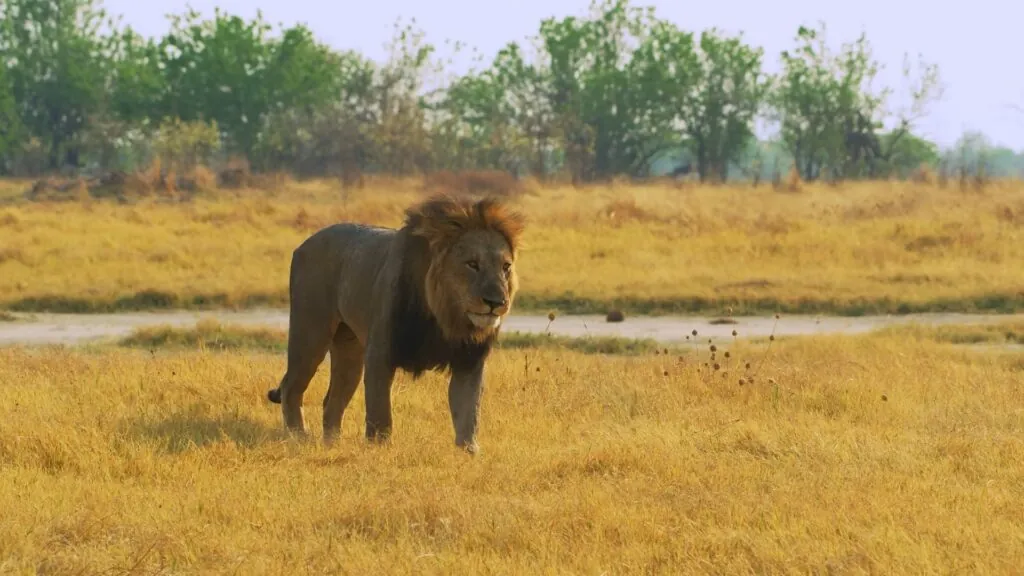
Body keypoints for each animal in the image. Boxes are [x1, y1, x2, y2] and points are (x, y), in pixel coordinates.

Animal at [264, 192, 524, 453]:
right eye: (472, 264)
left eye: (506, 267)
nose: (497, 302)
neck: (445, 319)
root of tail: (304, 244)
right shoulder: (380, 354)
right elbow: (380, 412)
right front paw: (379, 449)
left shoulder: (469, 362)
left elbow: (468, 413)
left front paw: (468, 452)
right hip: (310, 333)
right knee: (292, 387)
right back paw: (298, 437)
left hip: (349, 350)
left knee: (332, 401)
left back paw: (333, 444)